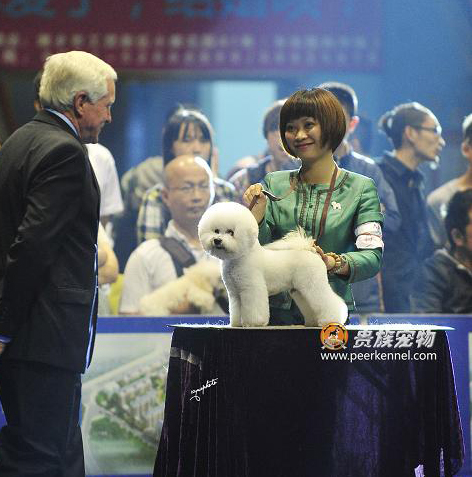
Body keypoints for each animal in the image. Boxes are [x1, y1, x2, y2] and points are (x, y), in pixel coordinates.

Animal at [198, 201, 348, 327]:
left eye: (231, 232)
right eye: (216, 230)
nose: (217, 240)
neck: (241, 257)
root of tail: (310, 251)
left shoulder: (251, 289)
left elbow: (254, 308)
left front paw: (254, 323)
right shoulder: (235, 293)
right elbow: (236, 309)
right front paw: (236, 323)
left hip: (313, 284)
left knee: (329, 301)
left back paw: (332, 319)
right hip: (300, 290)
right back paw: (313, 322)